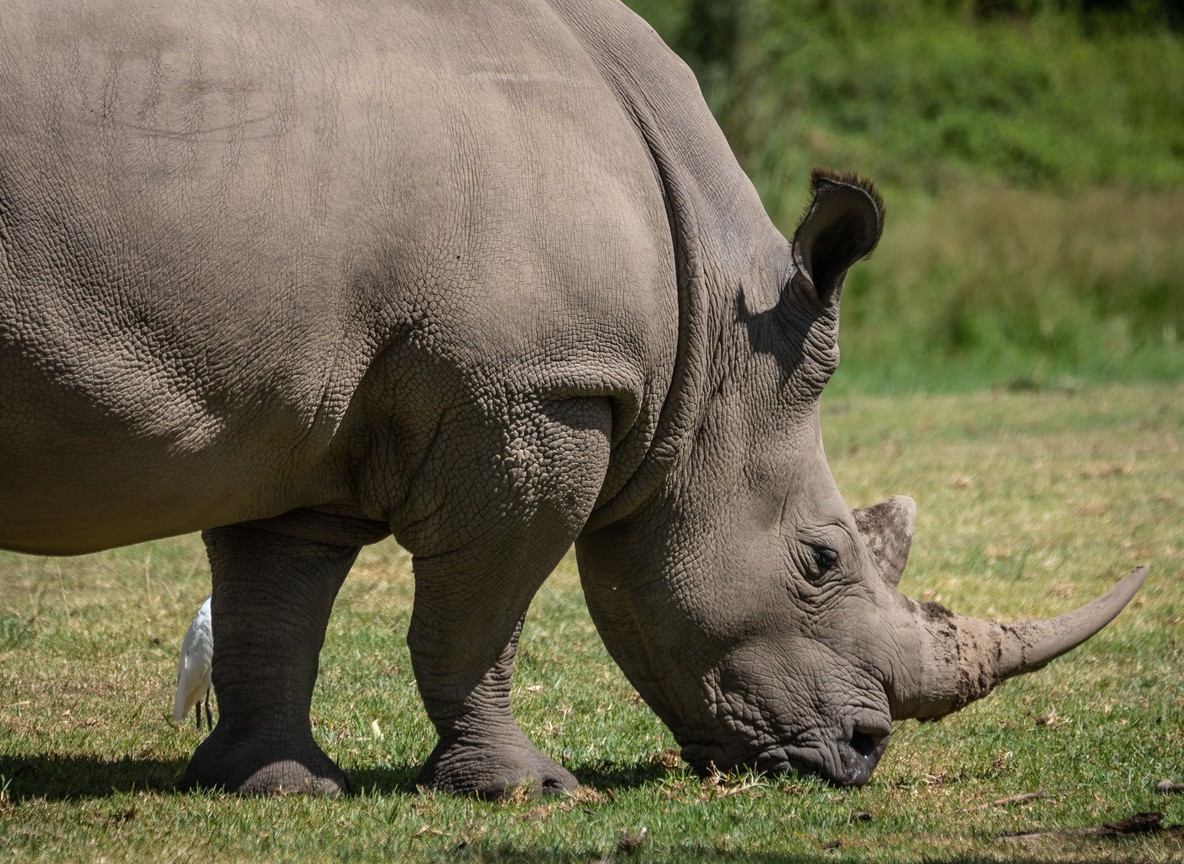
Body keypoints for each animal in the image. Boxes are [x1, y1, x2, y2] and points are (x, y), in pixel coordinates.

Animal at [0, 0, 1144, 797]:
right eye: (820, 561)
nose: (864, 751)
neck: (710, 333)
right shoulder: (540, 392)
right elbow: (480, 618)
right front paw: (528, 789)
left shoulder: (296, 400)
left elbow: (272, 601)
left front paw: (271, 786)